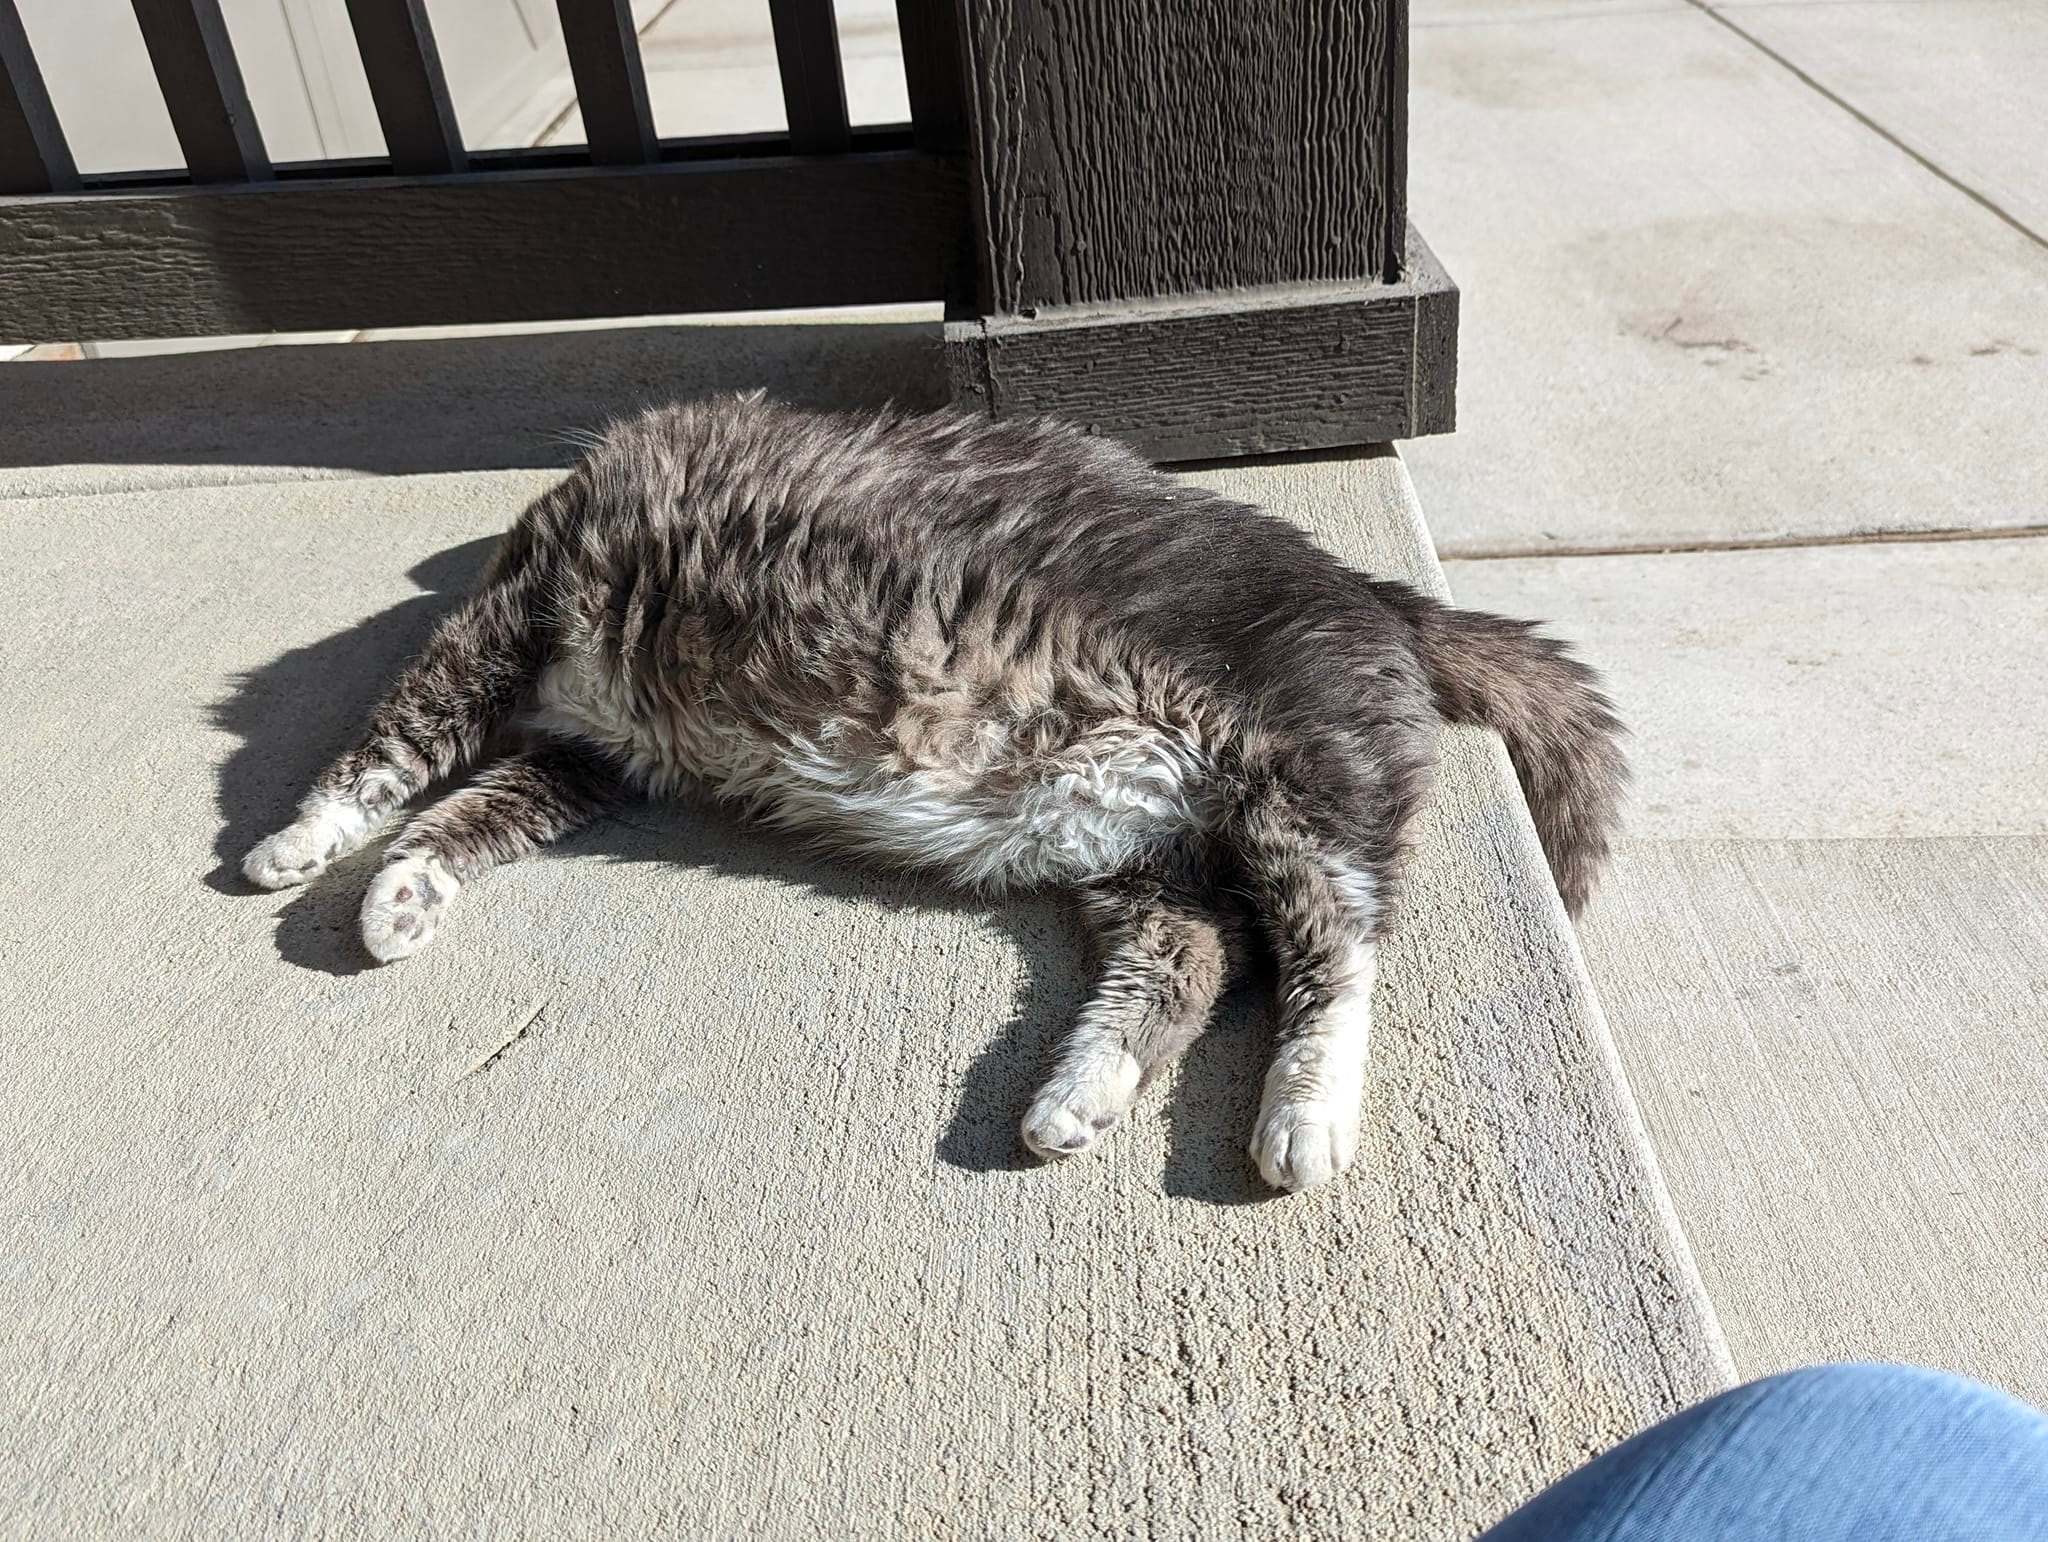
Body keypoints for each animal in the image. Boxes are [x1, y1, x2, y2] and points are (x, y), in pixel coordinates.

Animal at [242, 396, 1624, 1193]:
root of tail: (1383, 595)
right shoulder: (589, 754)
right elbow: (470, 810)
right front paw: (402, 895)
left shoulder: (512, 616)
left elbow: (394, 738)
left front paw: (297, 839)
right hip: (1137, 843)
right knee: (1198, 952)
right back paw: (1076, 1099)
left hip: (1299, 788)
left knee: (1337, 950)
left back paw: (1301, 1120)